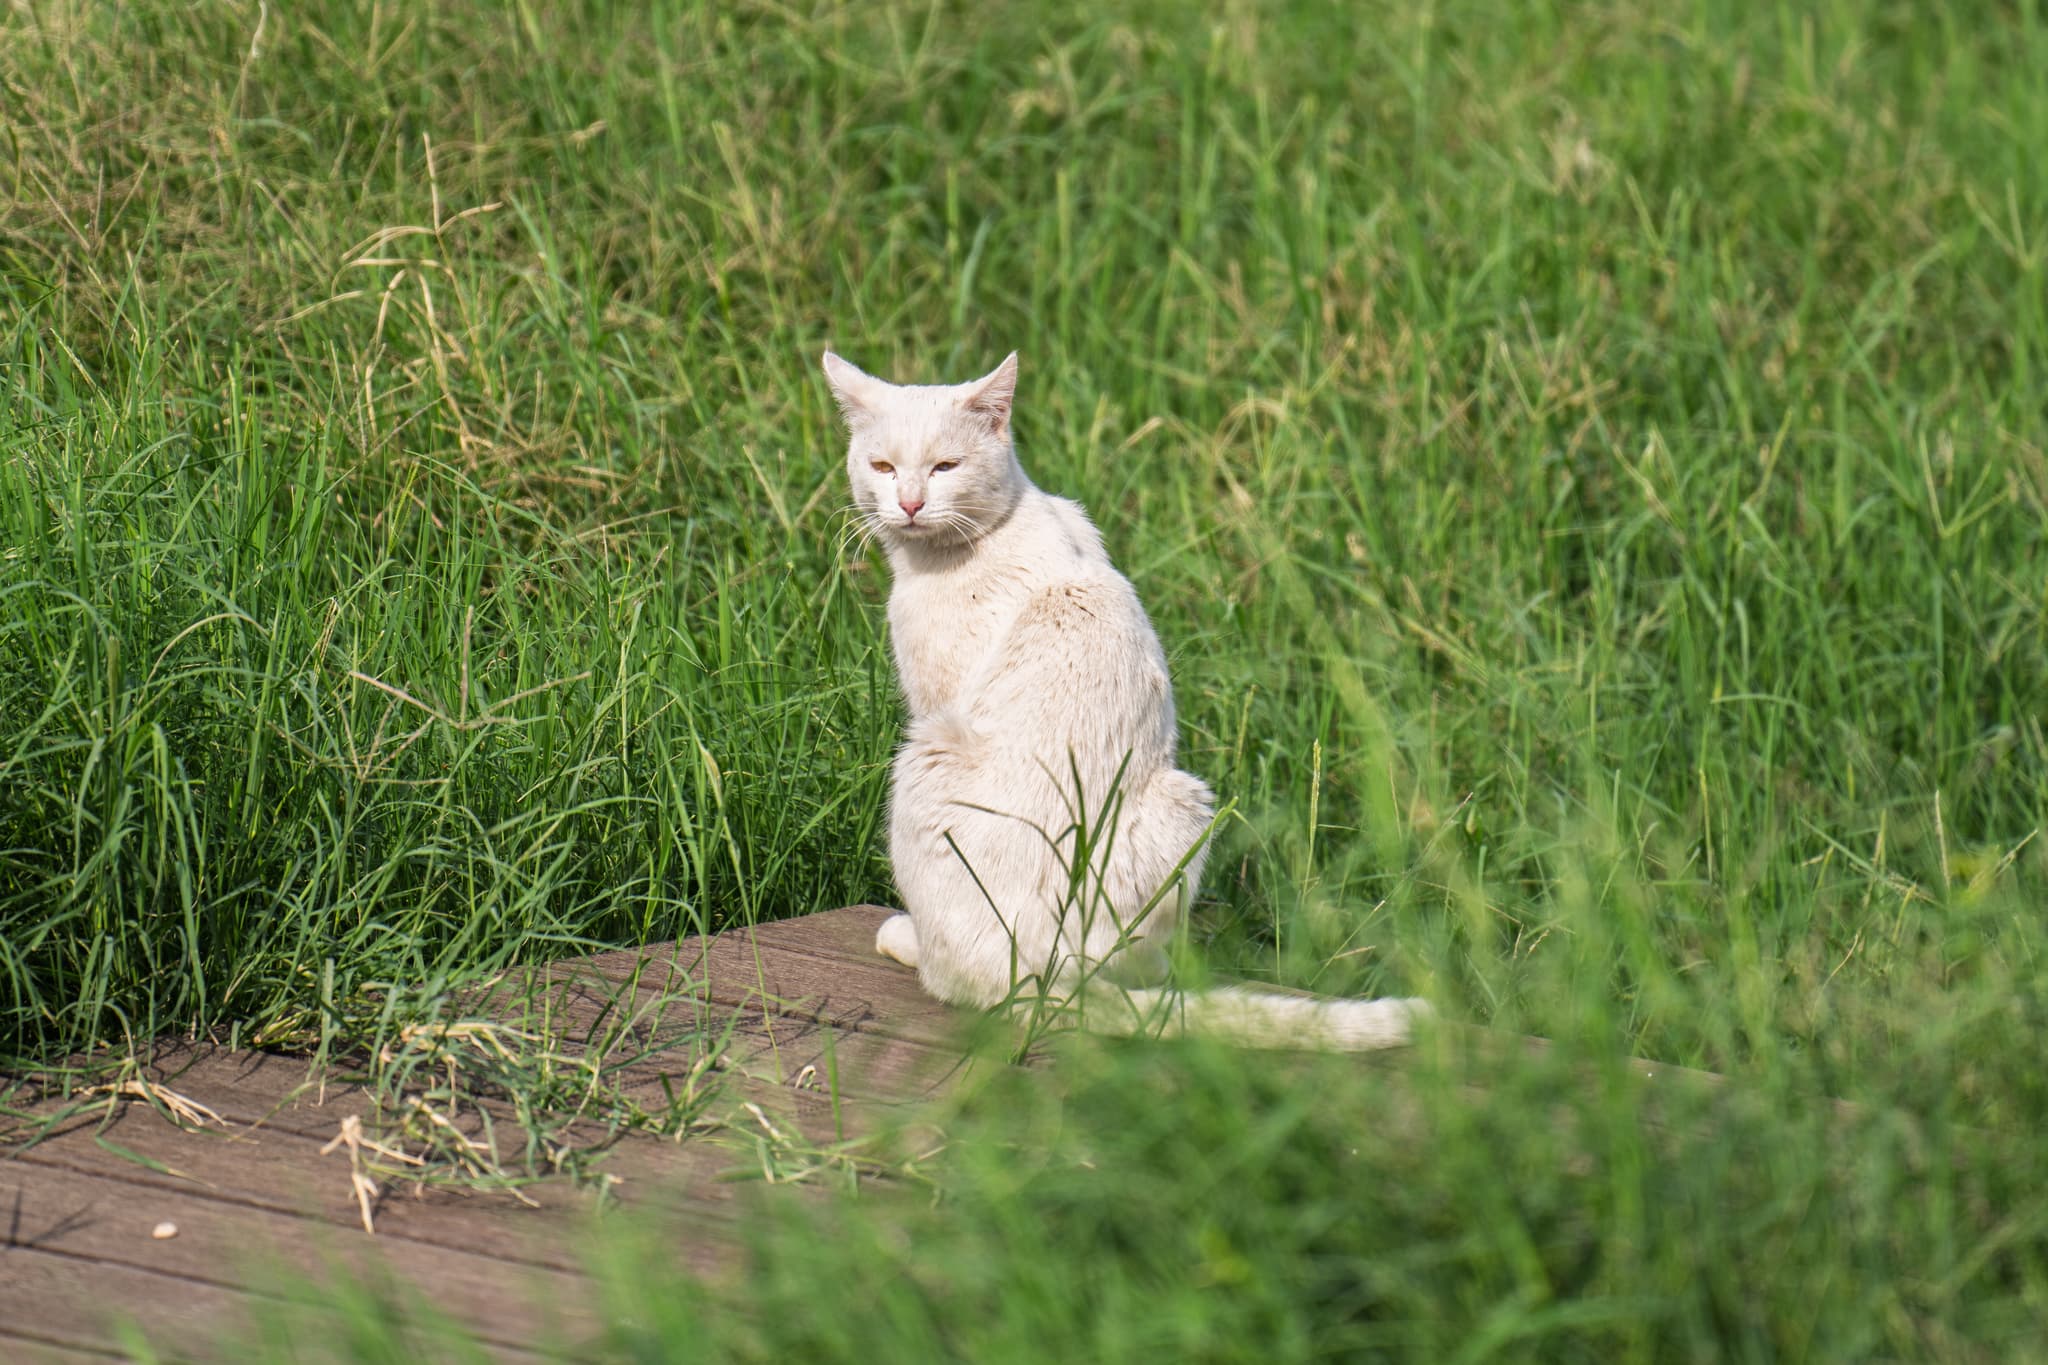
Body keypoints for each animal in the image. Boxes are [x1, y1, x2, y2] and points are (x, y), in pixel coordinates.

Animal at [815, 349, 1425, 1047]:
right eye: (883, 467)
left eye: (946, 467)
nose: (910, 503)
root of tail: (1047, 968)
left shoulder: (930, 697)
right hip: (1184, 802)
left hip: (923, 754)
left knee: (955, 979)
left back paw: (907, 939)